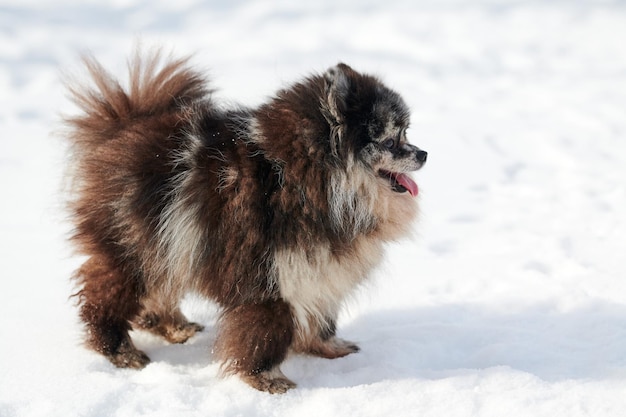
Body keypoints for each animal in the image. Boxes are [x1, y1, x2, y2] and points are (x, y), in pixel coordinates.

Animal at [63, 50, 424, 392]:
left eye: (406, 133)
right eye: (390, 140)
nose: (423, 153)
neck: (314, 179)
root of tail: (125, 124)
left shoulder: (319, 271)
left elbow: (321, 318)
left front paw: (329, 347)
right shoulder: (269, 278)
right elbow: (265, 334)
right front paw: (267, 379)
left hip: (169, 245)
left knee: (157, 290)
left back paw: (174, 327)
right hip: (134, 246)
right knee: (106, 298)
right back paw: (120, 350)